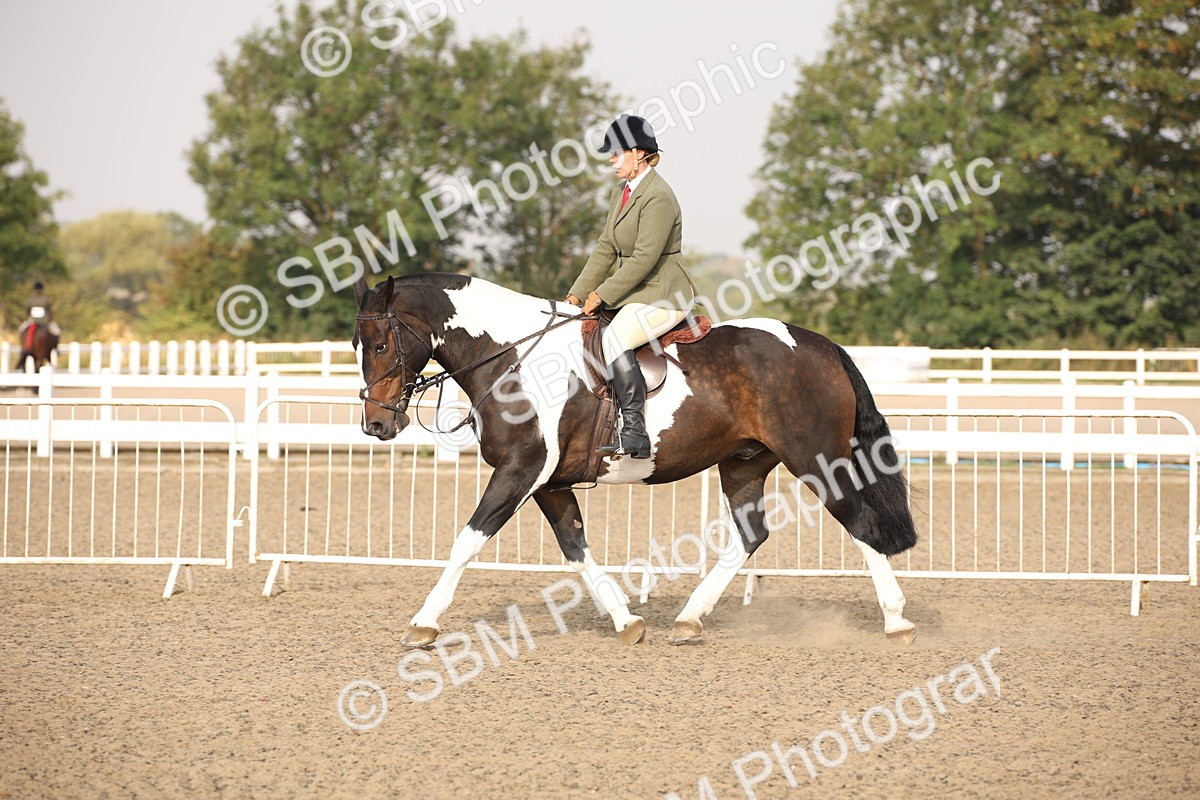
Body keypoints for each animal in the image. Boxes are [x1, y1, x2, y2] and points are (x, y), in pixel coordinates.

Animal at [353, 272, 918, 647]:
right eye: (358, 345)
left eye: (380, 344)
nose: (376, 426)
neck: (513, 356)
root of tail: (819, 345)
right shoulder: (549, 483)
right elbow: (575, 548)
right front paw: (626, 620)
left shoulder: (520, 470)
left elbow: (467, 541)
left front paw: (424, 623)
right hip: (743, 463)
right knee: (750, 535)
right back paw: (689, 619)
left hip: (816, 459)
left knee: (861, 524)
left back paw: (897, 620)